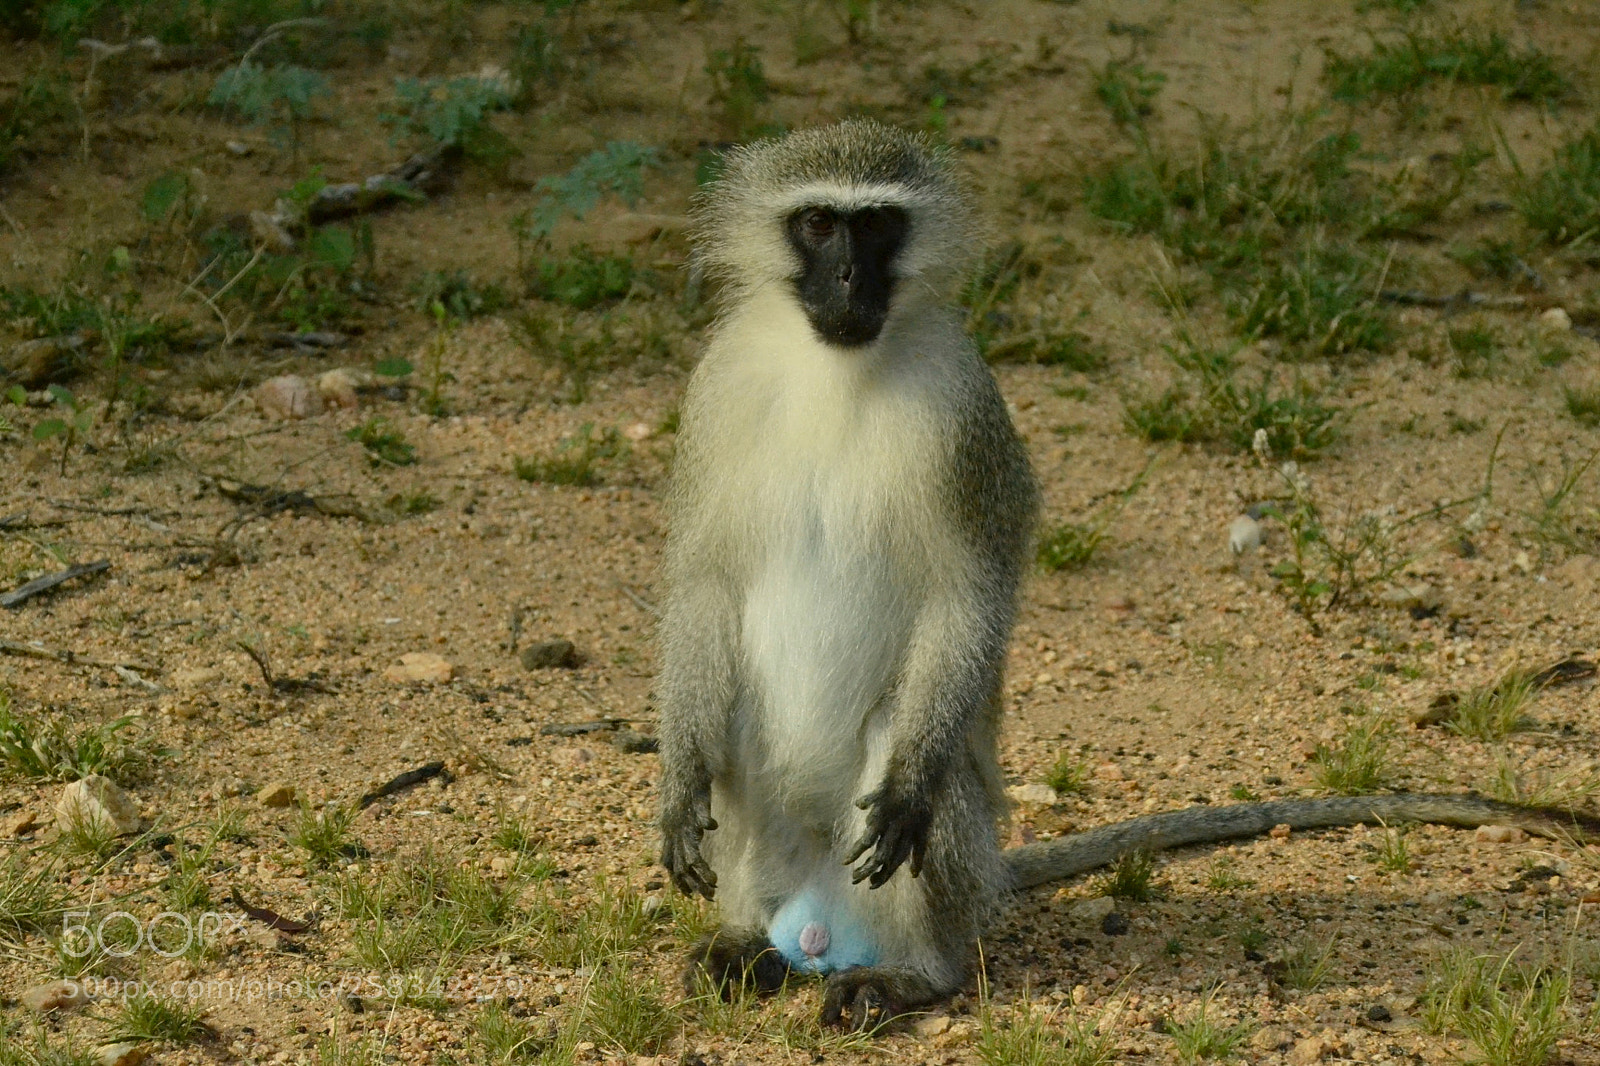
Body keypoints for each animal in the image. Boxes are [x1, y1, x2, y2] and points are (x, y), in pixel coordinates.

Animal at [654, 119, 1600, 1031]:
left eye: (879, 225)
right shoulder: (716, 391)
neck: (837, 370)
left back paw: (913, 973)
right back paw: (745, 941)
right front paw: (677, 785)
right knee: (738, 732)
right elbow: (702, 584)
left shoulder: (965, 414)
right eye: (818, 224)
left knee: (907, 765)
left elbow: (969, 597)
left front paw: (911, 786)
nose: (850, 274)